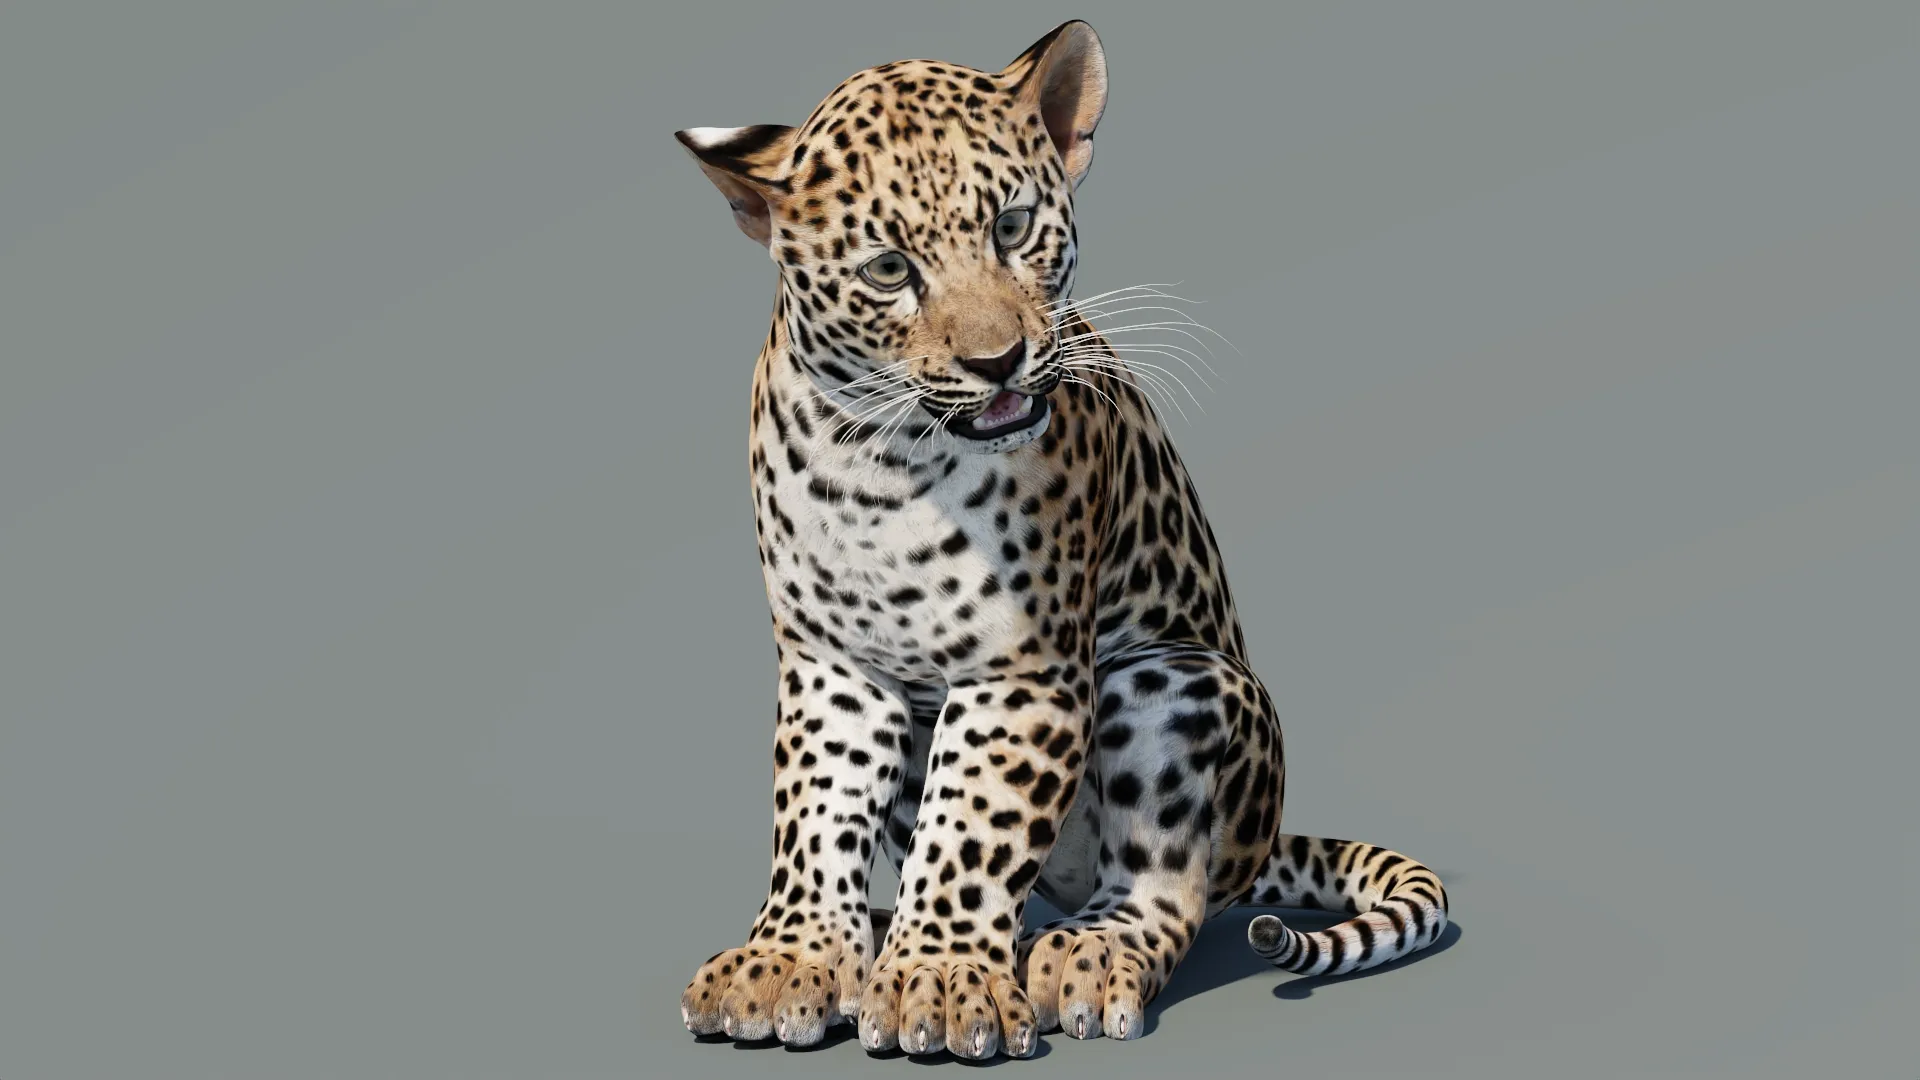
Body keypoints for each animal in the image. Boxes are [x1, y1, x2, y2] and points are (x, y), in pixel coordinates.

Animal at [670, 20, 1449, 1061]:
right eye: (888, 269)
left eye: (1011, 226)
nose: (998, 361)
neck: (885, 463)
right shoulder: (834, 663)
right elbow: (816, 813)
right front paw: (792, 957)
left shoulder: (1022, 667)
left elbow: (971, 828)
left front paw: (937, 981)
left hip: (1176, 682)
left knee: (1166, 886)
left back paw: (1080, 950)